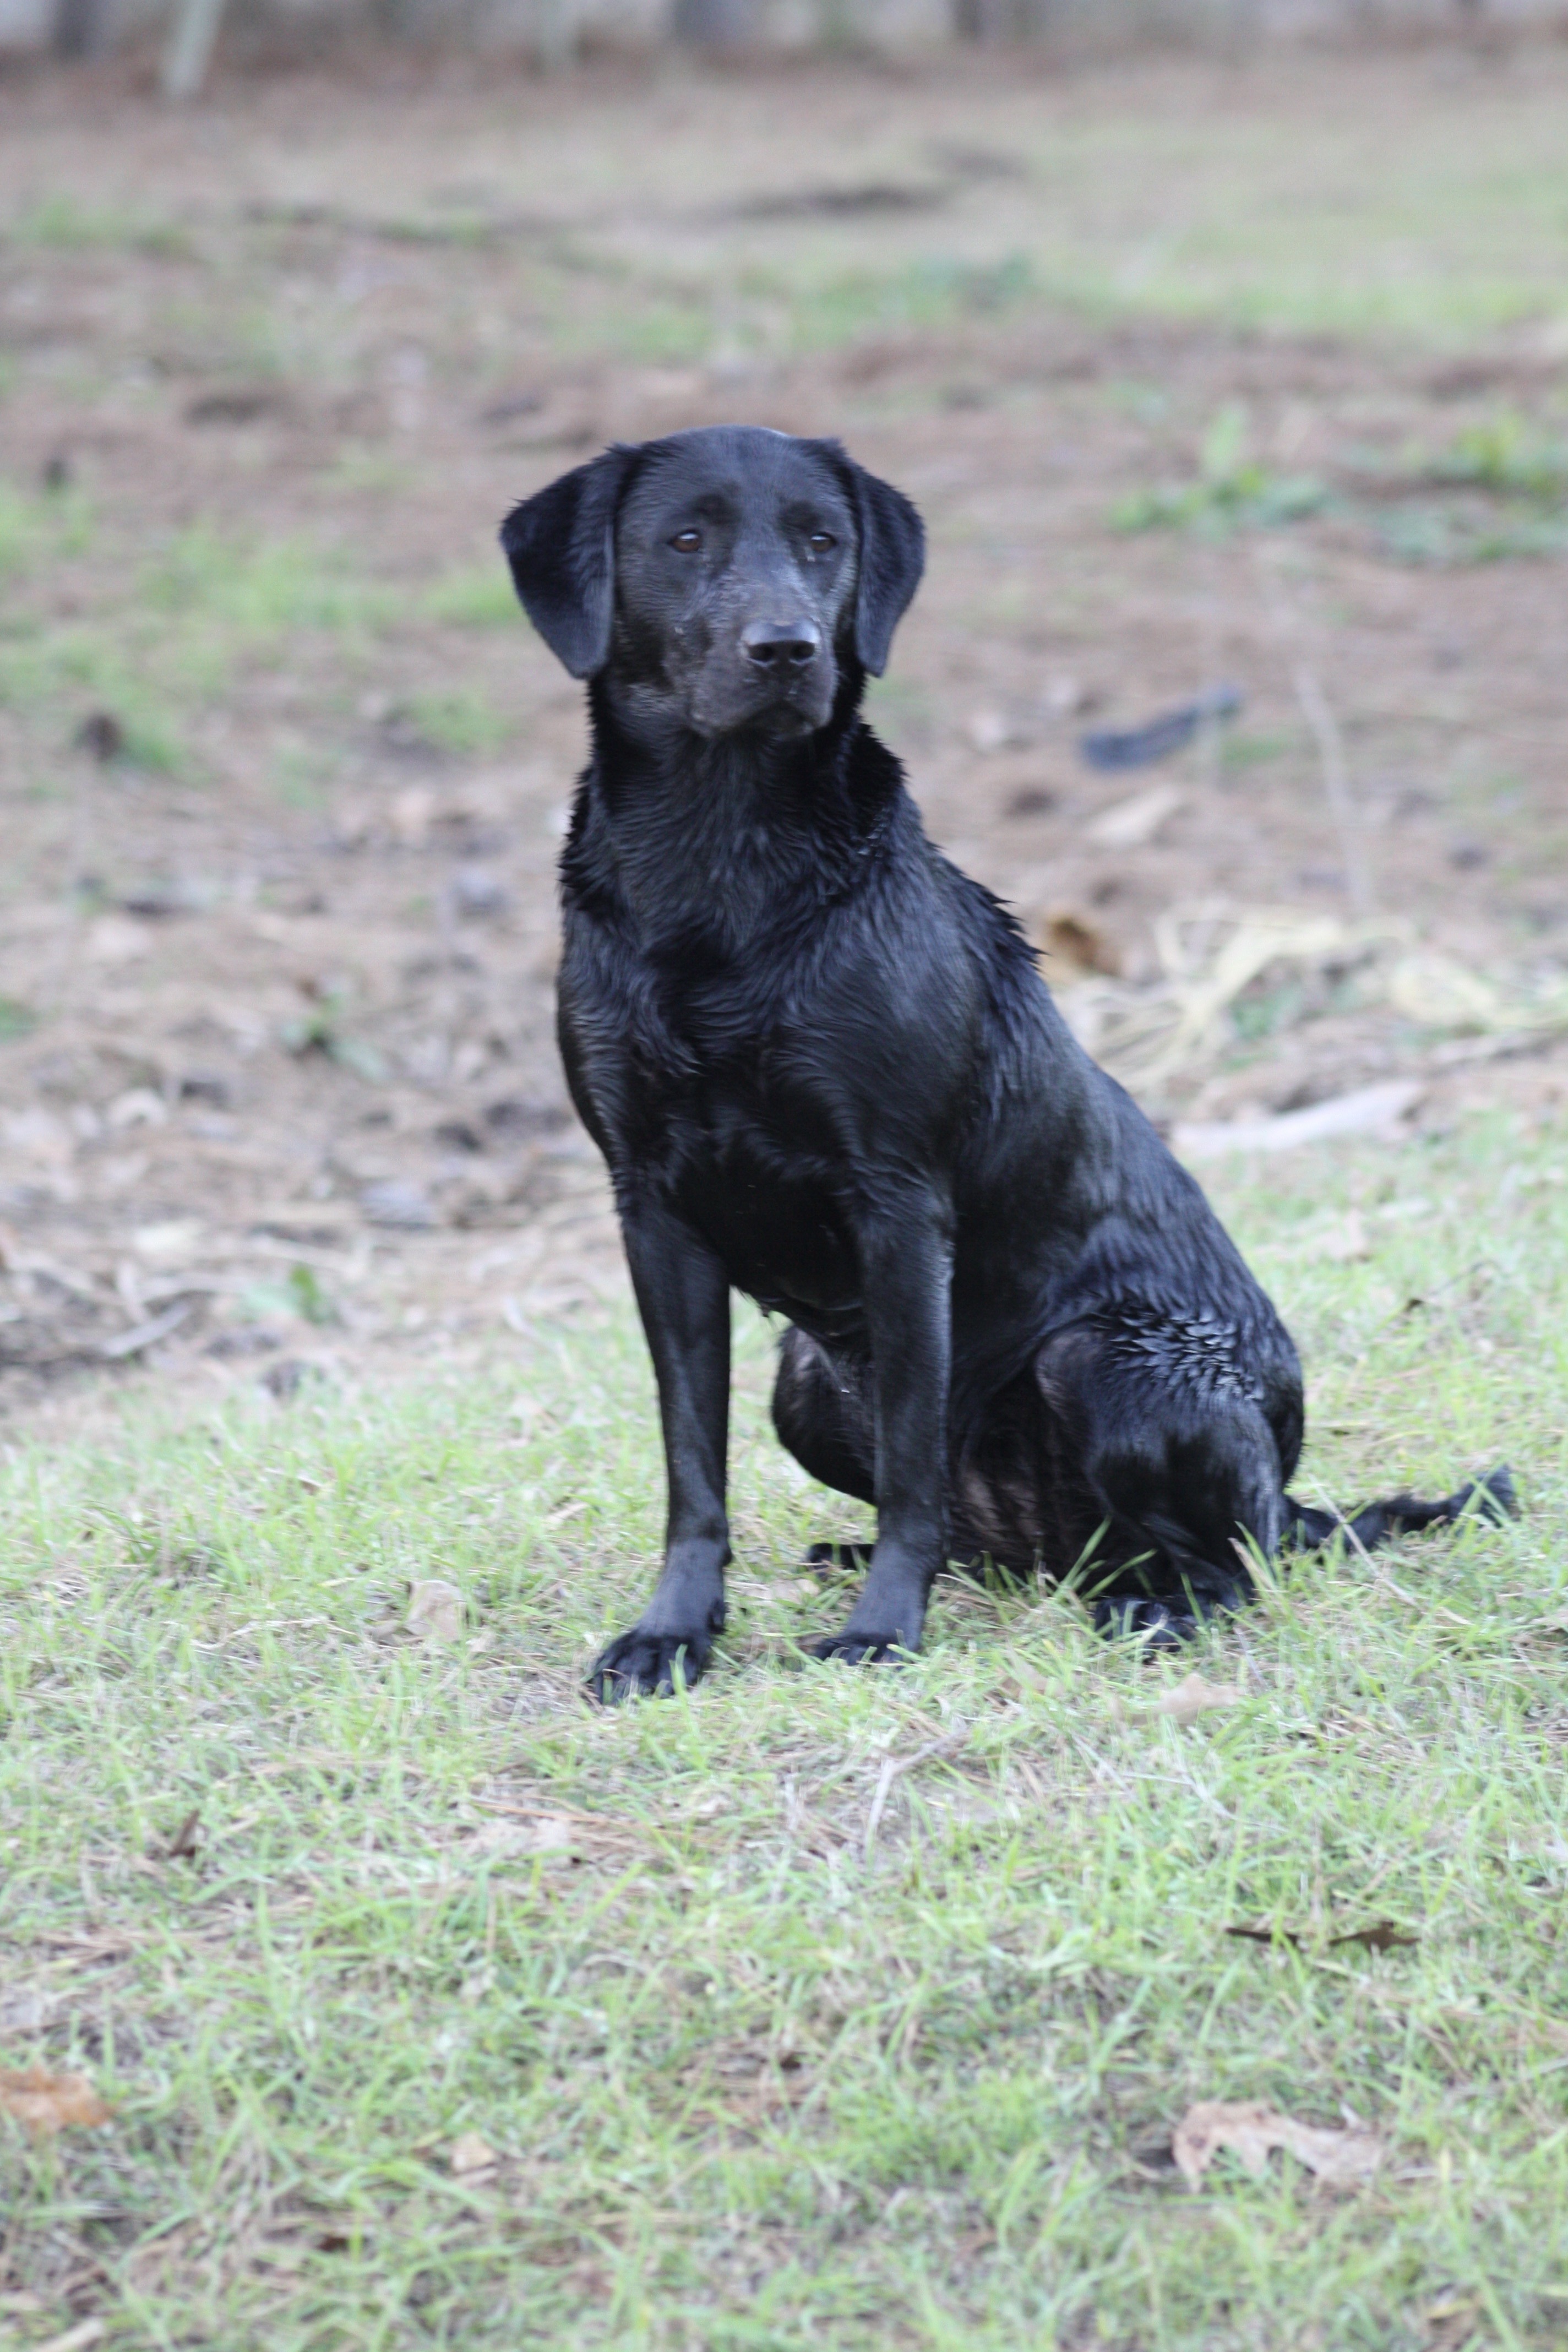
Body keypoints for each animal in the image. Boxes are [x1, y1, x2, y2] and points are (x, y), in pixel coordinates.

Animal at [500, 428, 1504, 1712]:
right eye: (684, 539)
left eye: (821, 541)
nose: (788, 649)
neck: (719, 866)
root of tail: (1289, 1495)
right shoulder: (651, 1208)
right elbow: (692, 1468)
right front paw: (673, 1635)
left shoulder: (896, 1202)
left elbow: (912, 1472)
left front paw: (880, 1632)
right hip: (806, 1385)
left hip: (1111, 1361)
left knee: (1226, 1564)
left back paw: (1153, 1607)